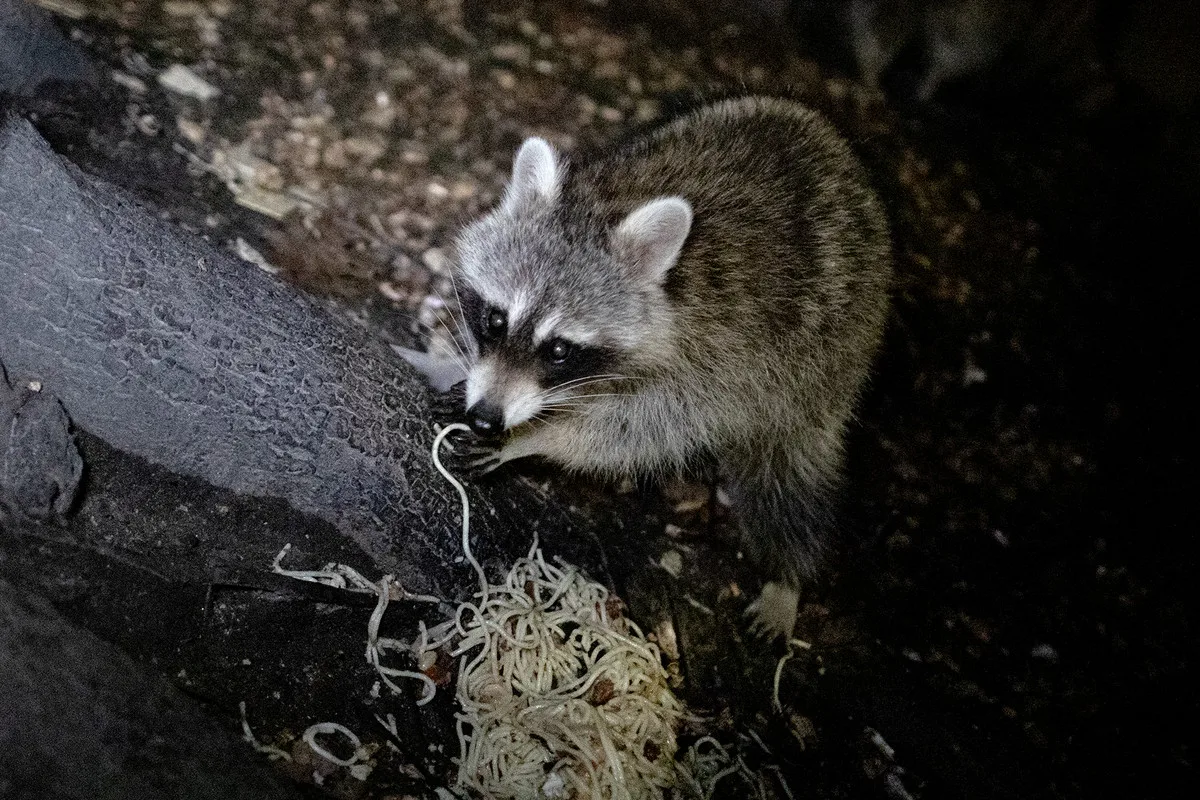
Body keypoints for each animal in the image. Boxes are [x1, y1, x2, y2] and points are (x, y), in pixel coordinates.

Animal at [408, 95, 888, 638]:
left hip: (829, 357)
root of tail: (833, 142)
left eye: (558, 350)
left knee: (789, 467)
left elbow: (646, 431)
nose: (487, 417)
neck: (606, 206)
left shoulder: (719, 360)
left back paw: (786, 577)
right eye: (495, 319)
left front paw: (536, 437)